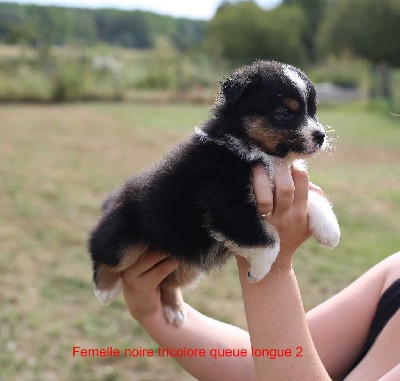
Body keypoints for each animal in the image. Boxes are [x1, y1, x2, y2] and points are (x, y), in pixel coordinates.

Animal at [89, 60, 340, 326]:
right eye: (285, 112)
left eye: (313, 111)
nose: (321, 136)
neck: (258, 152)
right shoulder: (225, 200)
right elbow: (268, 241)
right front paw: (259, 272)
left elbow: (315, 196)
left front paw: (330, 231)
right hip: (125, 236)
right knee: (101, 250)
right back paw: (105, 289)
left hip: (188, 262)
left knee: (167, 282)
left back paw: (174, 309)